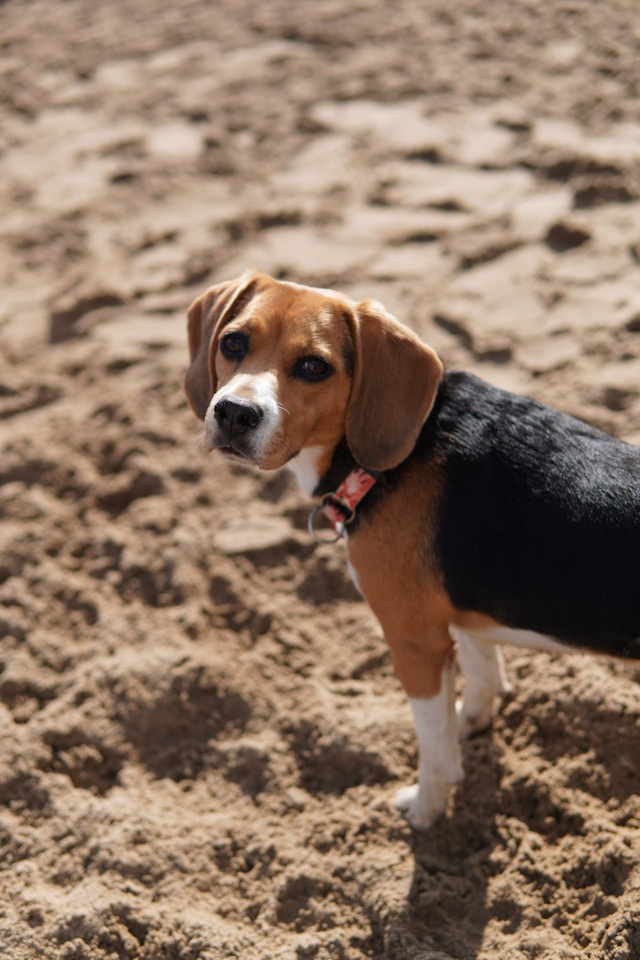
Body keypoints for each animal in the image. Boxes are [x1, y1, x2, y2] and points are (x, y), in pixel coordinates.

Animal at [185, 272, 640, 832]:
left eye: (314, 367)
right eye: (233, 343)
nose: (233, 413)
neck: (391, 455)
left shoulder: (413, 643)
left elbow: (434, 745)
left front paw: (426, 809)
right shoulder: (458, 617)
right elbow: (481, 673)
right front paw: (472, 721)